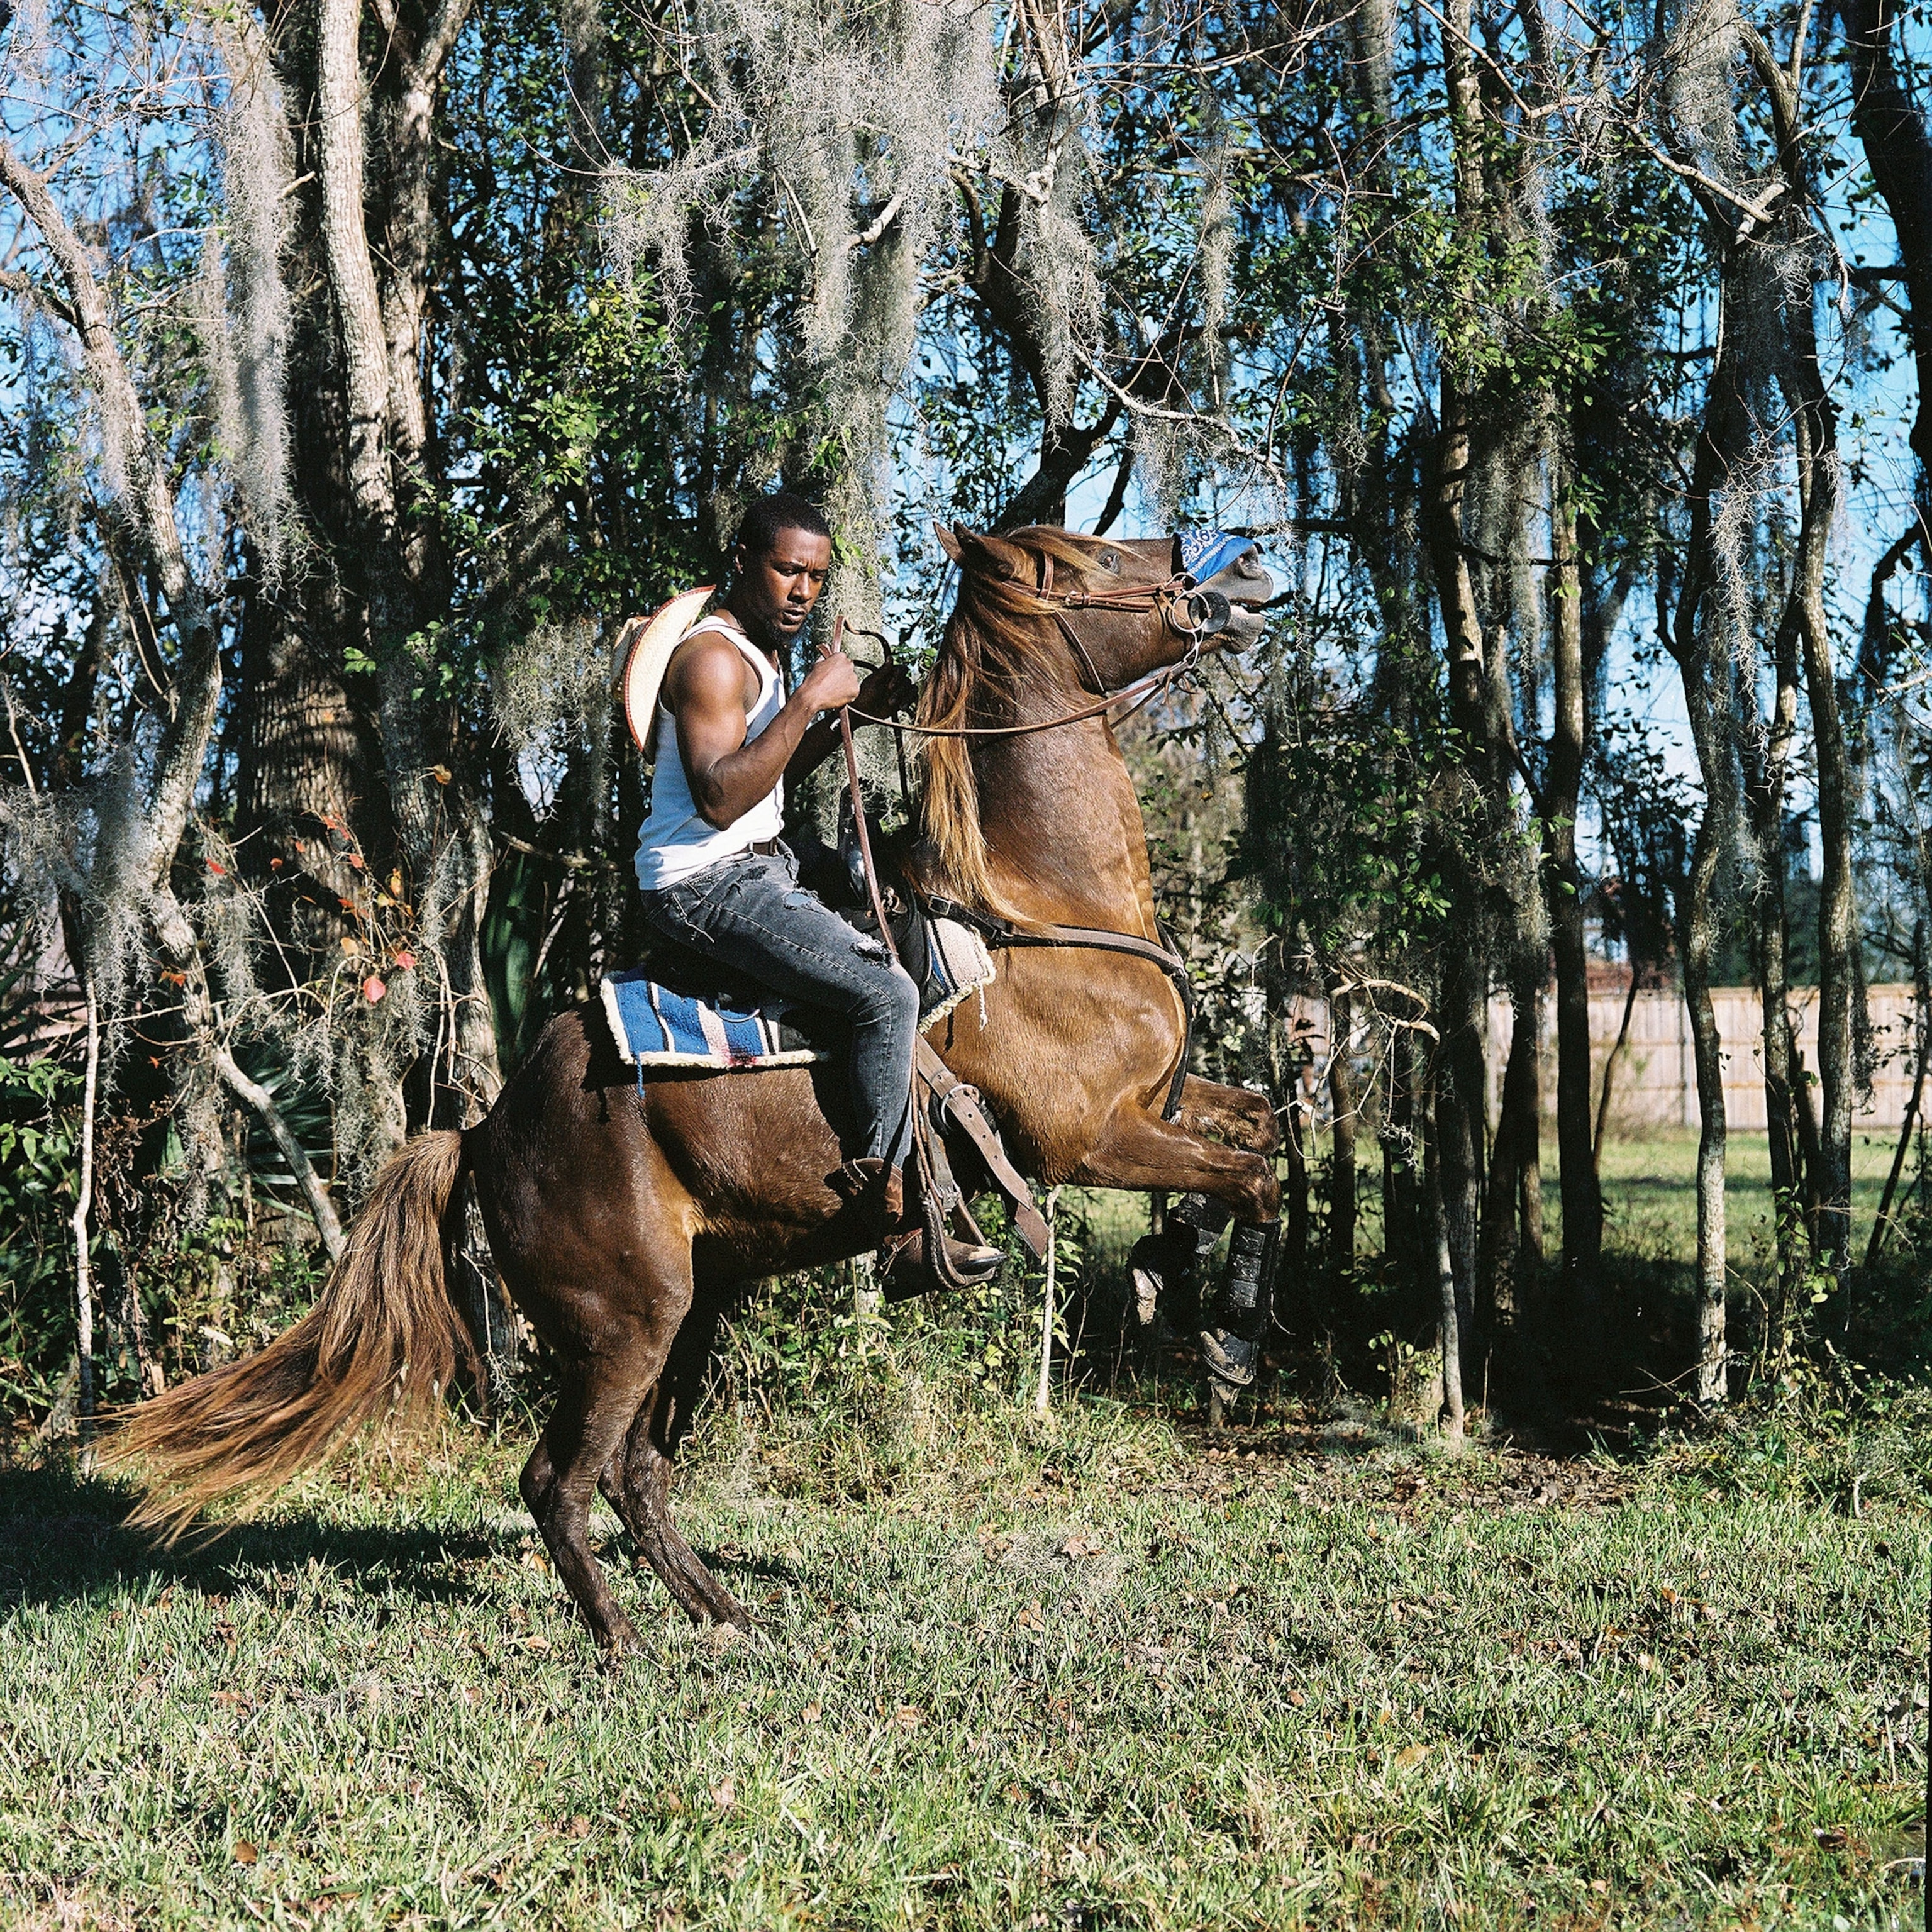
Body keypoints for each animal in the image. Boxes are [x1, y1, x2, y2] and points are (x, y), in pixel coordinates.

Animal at [104, 523, 1284, 1659]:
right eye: (1099, 558)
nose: (1245, 573)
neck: (1028, 902)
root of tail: (484, 1134)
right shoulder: (1086, 1139)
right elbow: (1252, 1176)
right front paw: (1224, 1339)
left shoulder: (1160, 1105)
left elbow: (1261, 1132)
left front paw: (1179, 1276)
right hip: (624, 1323)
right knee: (560, 1479)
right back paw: (623, 1638)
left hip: (688, 1310)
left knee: (637, 1475)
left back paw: (722, 1614)